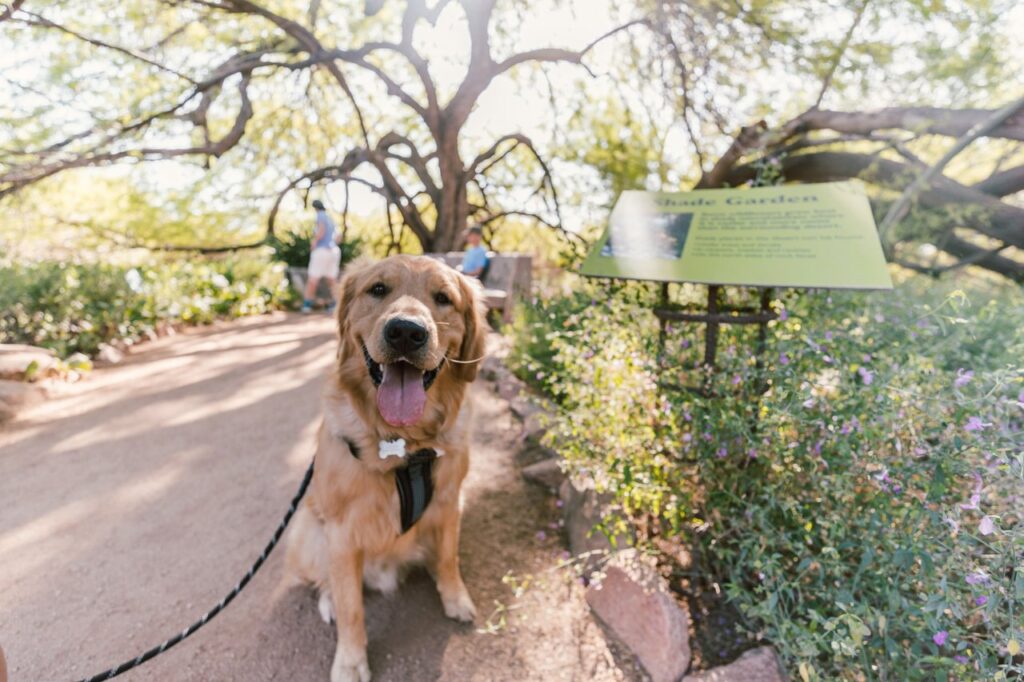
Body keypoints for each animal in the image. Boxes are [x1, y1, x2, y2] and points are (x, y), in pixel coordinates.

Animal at [282, 254, 485, 679]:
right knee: (328, 583)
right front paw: (350, 660)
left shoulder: (449, 504)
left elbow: (449, 557)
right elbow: (351, 607)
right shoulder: (341, 533)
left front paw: (455, 596)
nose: (406, 332)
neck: (404, 445)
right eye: (377, 289)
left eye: (444, 298)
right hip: (308, 532)